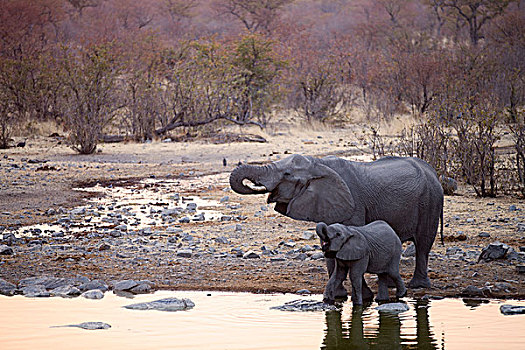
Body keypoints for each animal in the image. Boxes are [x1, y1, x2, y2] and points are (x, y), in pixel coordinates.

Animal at [229, 154, 442, 288]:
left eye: (287, 174)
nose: (256, 186)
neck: (319, 163)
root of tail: (433, 172)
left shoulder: (353, 204)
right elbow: (328, 243)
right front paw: (336, 292)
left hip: (430, 202)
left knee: (423, 244)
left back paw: (417, 286)